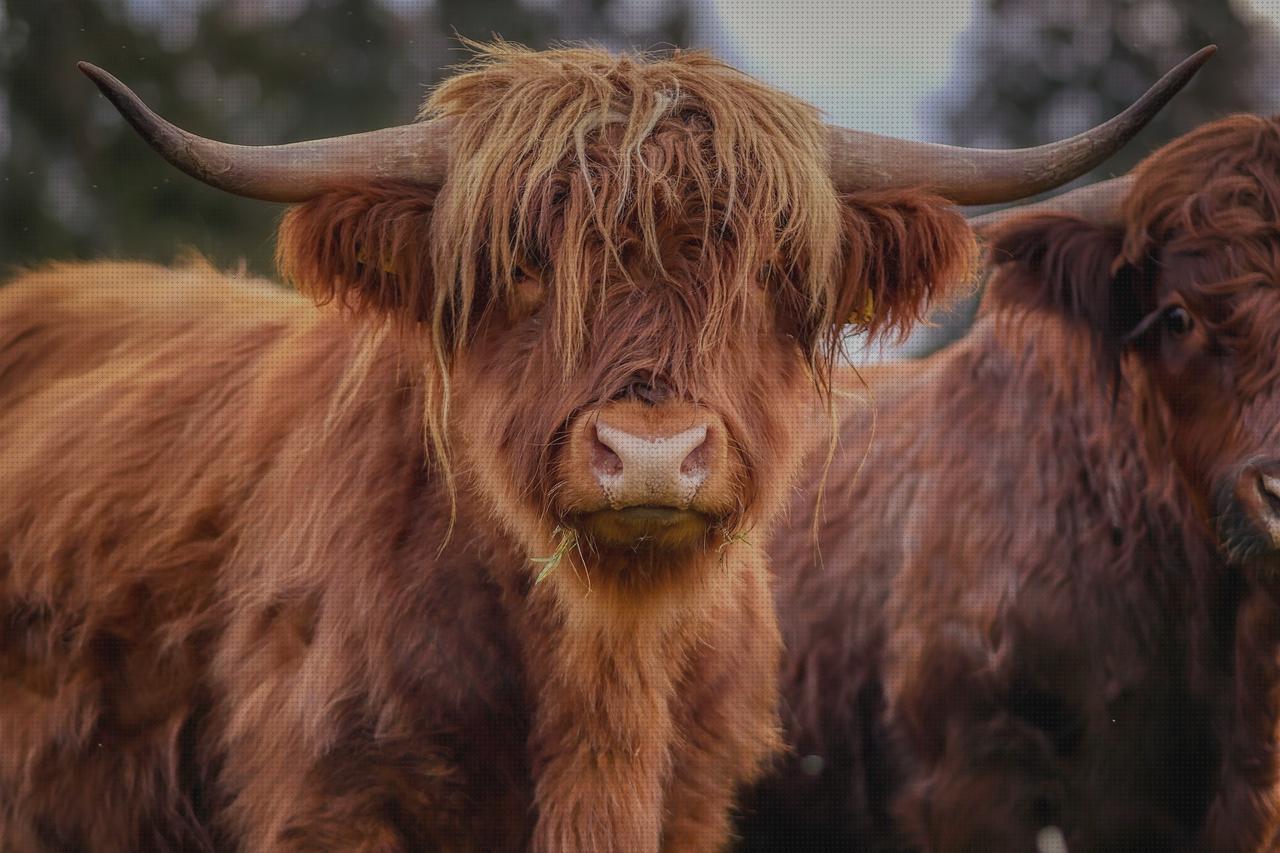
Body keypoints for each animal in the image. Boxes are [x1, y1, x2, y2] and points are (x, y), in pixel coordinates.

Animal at [0, 44, 1208, 850]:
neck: (601, 678)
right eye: (524, 267)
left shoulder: (695, 801)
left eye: (771, 273)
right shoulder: (330, 797)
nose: (652, 451)